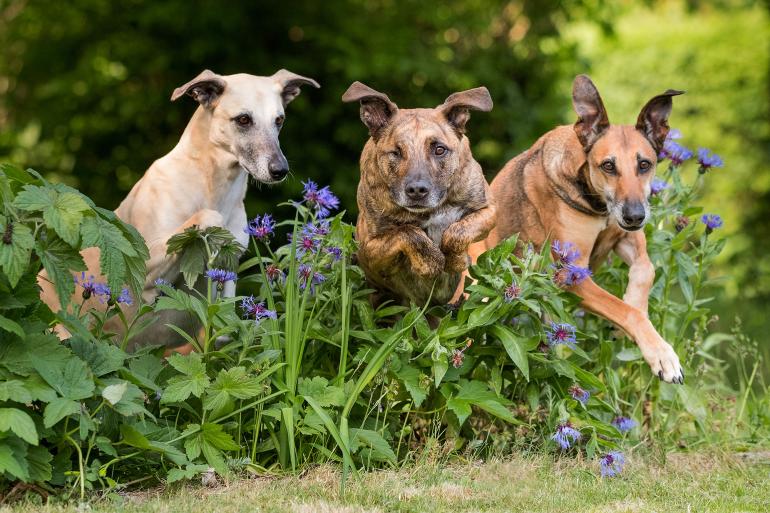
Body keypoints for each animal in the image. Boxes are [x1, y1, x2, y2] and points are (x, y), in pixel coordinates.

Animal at [39, 68, 318, 348]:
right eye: (243, 119)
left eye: (279, 120)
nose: (280, 171)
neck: (210, 184)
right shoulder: (143, 269)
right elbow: (207, 219)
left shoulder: (228, 277)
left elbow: (225, 331)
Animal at [340, 80, 496, 304]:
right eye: (396, 152)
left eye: (439, 149)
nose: (417, 190)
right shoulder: (368, 249)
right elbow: (409, 232)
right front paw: (431, 262)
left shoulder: (488, 210)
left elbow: (457, 232)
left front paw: (455, 261)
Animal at [468, 74, 684, 382]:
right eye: (608, 166)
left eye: (645, 164)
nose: (635, 216)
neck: (598, 205)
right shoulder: (572, 273)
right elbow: (625, 311)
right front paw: (662, 354)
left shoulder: (626, 239)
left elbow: (646, 270)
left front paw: (631, 314)